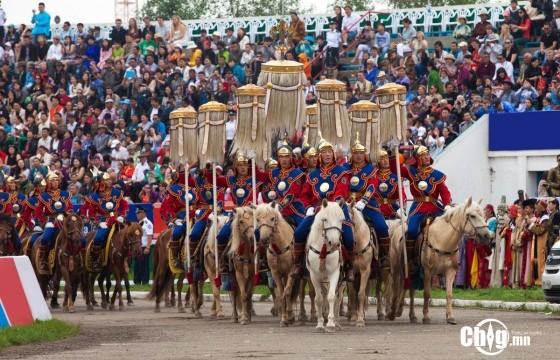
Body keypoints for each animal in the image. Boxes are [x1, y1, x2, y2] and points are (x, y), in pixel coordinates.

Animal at [306, 198, 346, 334]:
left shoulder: (334, 273)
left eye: (342, 220)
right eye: (325, 219)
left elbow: (332, 297)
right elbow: (318, 299)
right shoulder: (314, 275)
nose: (334, 243)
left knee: (338, 297)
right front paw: (319, 324)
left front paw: (331, 324)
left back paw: (337, 322)